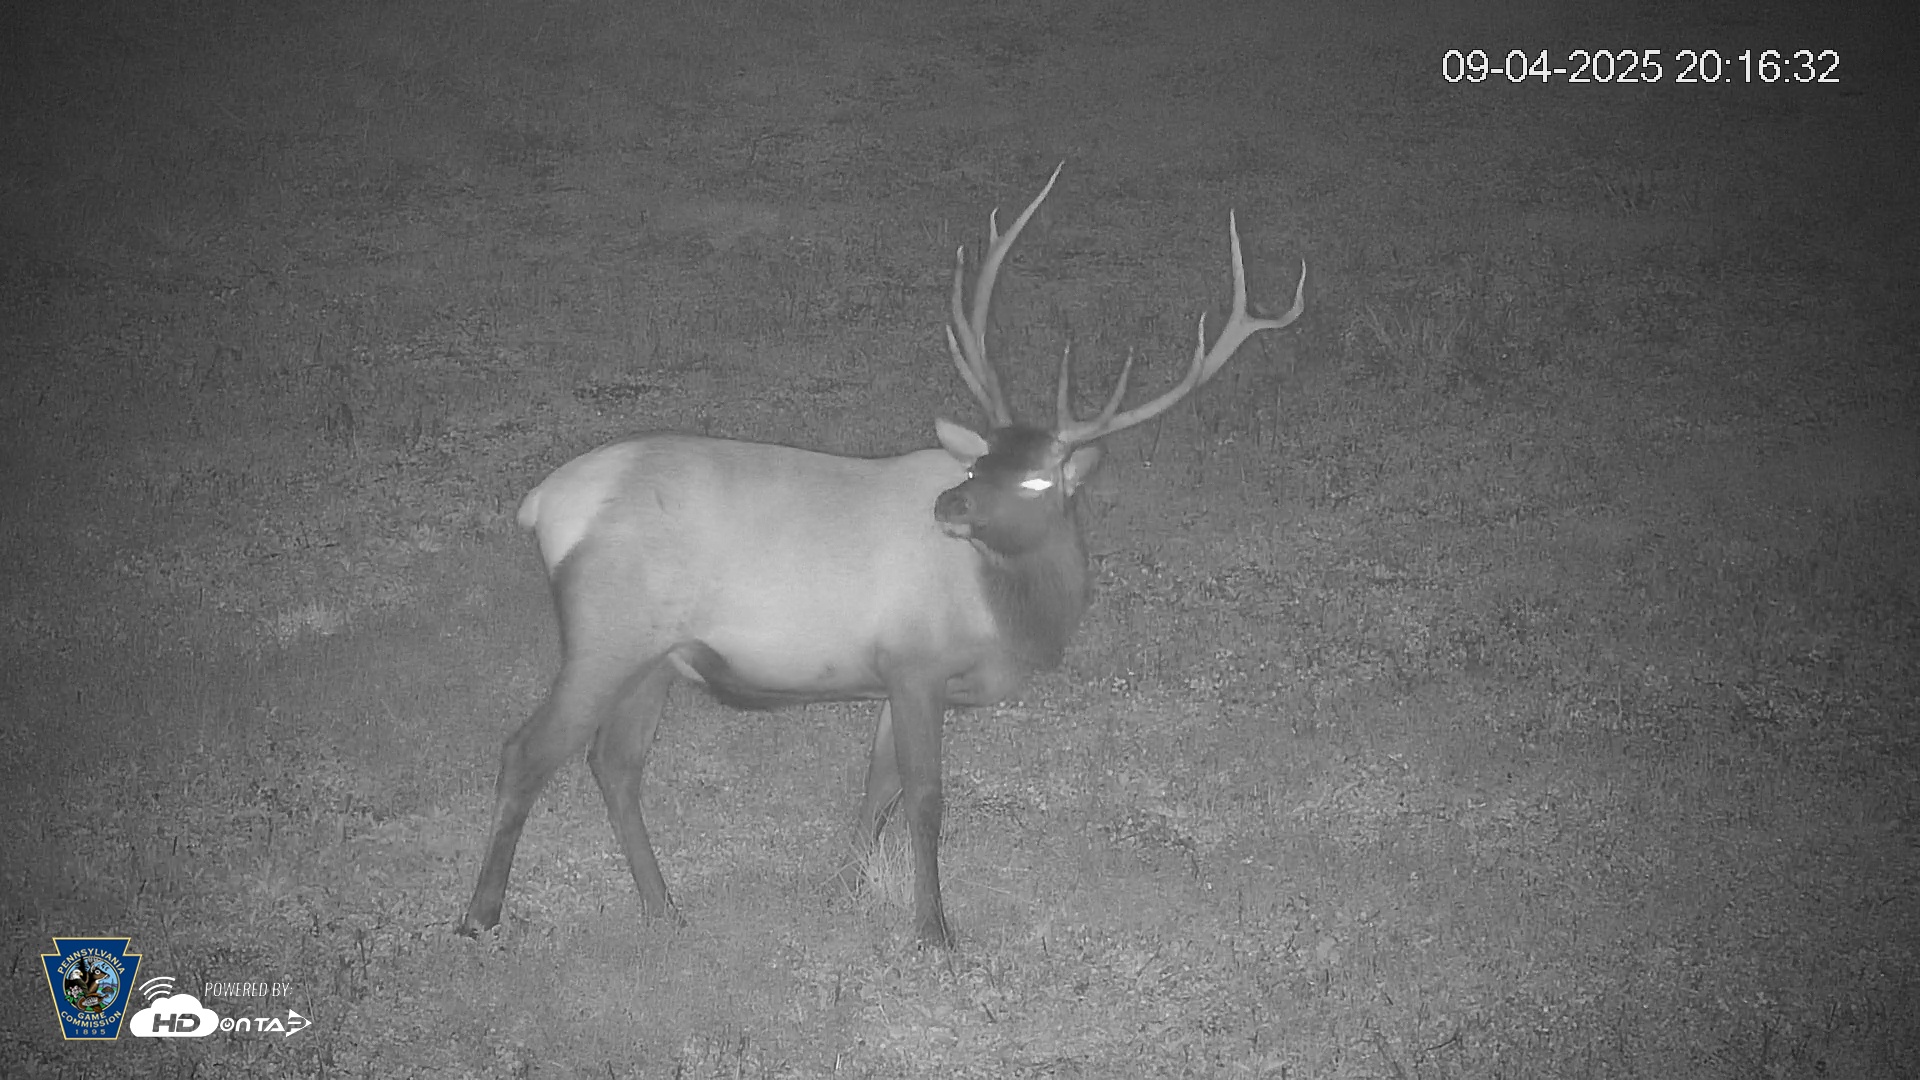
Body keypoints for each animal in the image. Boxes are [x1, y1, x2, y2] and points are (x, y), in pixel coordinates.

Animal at [460, 165, 1305, 947]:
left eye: (1033, 476)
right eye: (980, 461)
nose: (949, 507)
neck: (1017, 619)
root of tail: (545, 504)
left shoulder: (892, 678)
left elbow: (877, 790)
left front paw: (841, 891)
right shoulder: (916, 663)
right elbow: (925, 799)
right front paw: (934, 932)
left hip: (656, 659)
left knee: (615, 764)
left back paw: (663, 910)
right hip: (607, 635)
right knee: (526, 751)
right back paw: (480, 917)